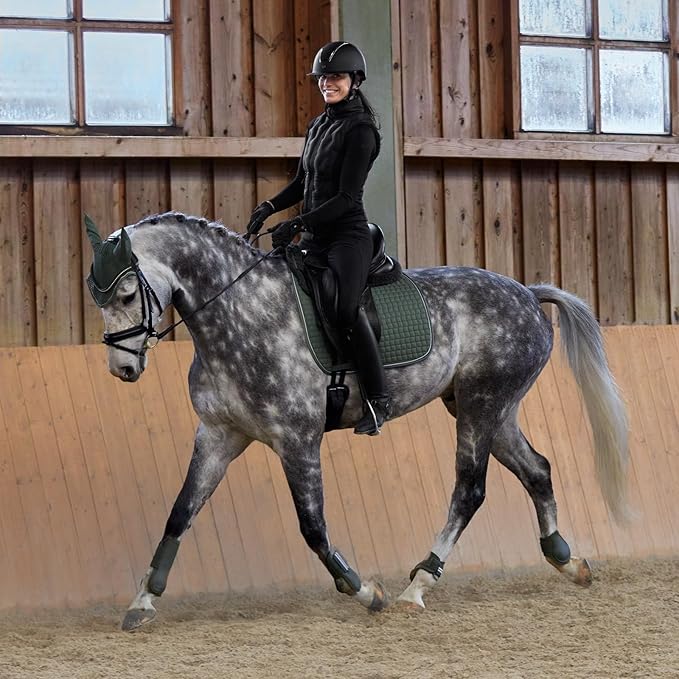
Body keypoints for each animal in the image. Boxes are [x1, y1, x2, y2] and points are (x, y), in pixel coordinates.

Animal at [83, 211, 629, 631]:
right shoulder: (219, 435)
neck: (242, 314)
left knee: (470, 490)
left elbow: (312, 527)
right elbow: (180, 513)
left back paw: (417, 587)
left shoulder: (297, 440)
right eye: (97, 296)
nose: (122, 369)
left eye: (127, 294)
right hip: (491, 409)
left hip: (482, 404)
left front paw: (365, 590)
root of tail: (527, 293)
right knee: (537, 469)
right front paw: (142, 602)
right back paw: (567, 560)